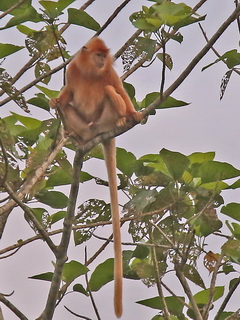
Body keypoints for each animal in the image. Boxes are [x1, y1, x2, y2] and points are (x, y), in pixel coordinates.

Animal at [49, 37, 142, 318]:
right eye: (97, 54)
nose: (102, 60)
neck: (91, 71)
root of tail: (99, 134)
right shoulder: (73, 70)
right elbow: (68, 94)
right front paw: (55, 100)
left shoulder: (109, 73)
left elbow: (119, 89)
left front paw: (134, 113)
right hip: (83, 126)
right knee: (68, 108)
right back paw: (76, 138)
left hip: (105, 121)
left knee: (112, 92)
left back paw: (123, 119)